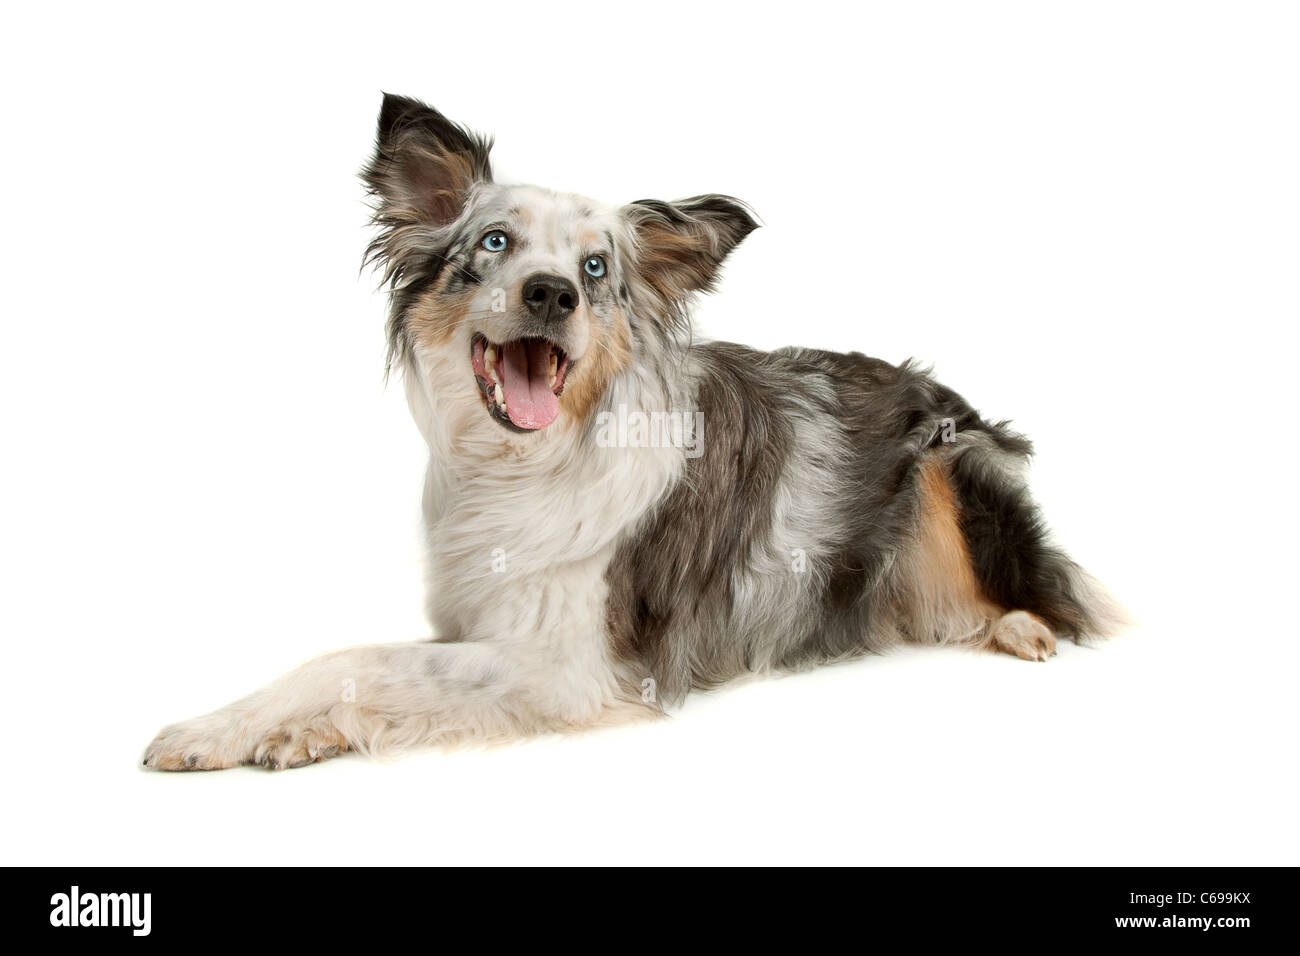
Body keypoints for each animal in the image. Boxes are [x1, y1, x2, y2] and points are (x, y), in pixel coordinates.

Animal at [139, 95, 1118, 770]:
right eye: (494, 243)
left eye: (596, 267)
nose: (551, 294)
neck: (522, 464)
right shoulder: (481, 620)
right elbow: (362, 663)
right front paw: (280, 731)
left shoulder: (563, 666)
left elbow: (355, 657)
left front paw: (223, 728)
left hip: (955, 466)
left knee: (1054, 596)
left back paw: (1020, 627)